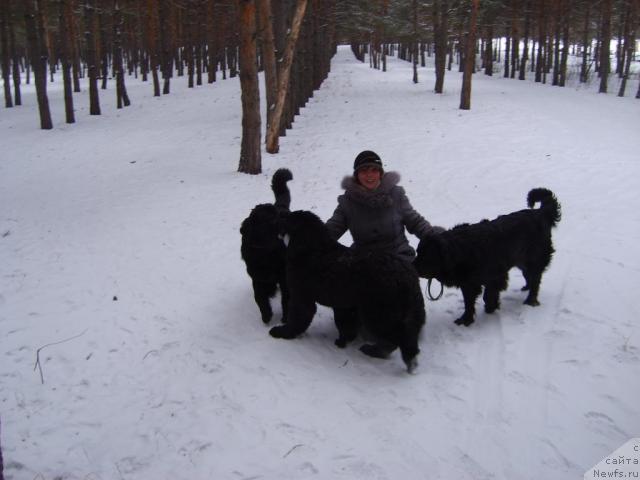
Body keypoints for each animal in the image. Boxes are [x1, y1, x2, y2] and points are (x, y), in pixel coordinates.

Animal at [240, 168, 292, 322]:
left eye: (278, 215)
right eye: (272, 219)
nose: (289, 219)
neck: (266, 253)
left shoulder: (283, 275)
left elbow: (286, 298)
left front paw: (285, 318)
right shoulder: (257, 276)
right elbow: (259, 297)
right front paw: (266, 314)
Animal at [268, 209, 424, 372]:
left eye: (287, 219)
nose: (275, 220)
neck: (312, 249)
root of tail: (408, 276)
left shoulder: (301, 296)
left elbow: (297, 319)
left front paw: (282, 332)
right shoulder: (345, 305)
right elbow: (346, 324)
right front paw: (343, 340)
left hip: (377, 313)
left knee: (396, 338)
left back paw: (379, 352)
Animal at [416, 188, 560, 326]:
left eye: (426, 256)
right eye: (418, 252)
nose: (413, 265)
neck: (459, 251)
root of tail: (540, 213)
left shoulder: (493, 276)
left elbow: (485, 295)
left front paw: (483, 311)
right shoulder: (469, 282)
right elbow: (470, 301)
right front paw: (470, 317)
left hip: (534, 259)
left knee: (535, 280)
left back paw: (531, 300)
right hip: (522, 260)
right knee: (529, 276)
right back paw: (527, 288)